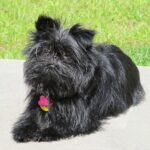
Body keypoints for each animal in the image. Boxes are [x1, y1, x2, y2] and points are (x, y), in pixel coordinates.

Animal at [12, 15, 145, 142]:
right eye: (46, 50)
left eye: (67, 54)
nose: (54, 57)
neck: (56, 88)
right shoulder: (35, 106)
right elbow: (30, 118)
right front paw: (23, 130)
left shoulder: (80, 119)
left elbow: (62, 126)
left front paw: (44, 132)